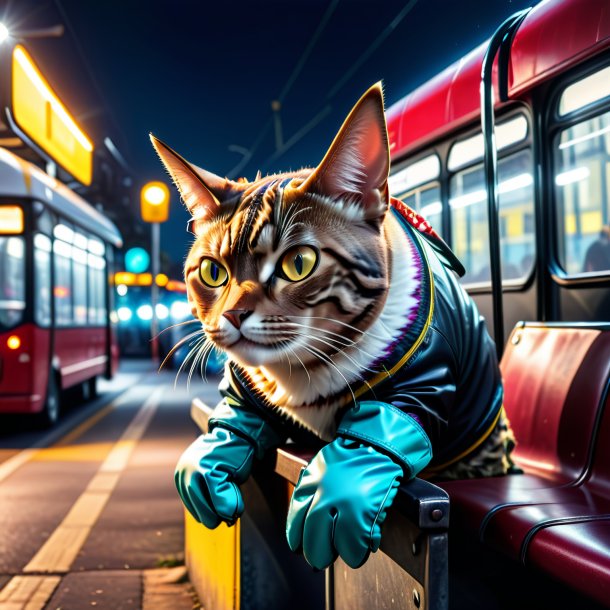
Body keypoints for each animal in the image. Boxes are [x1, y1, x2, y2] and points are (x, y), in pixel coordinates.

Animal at [152, 81, 512, 564]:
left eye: (299, 263)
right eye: (212, 272)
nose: (233, 314)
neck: (304, 371)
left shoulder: (427, 377)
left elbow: (380, 427)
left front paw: (342, 484)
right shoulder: (250, 382)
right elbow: (239, 409)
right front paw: (215, 451)